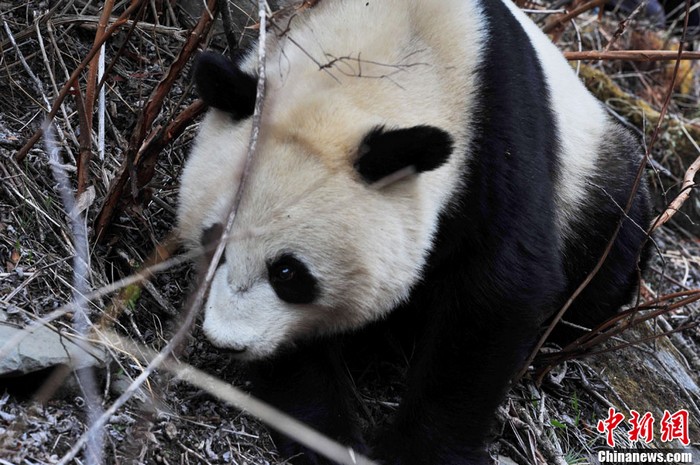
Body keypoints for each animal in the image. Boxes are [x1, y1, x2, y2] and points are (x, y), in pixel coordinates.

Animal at [178, 0, 652, 464]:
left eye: (288, 273)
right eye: (213, 245)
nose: (227, 341)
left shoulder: (499, 138)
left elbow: (502, 288)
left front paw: (415, 451)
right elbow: (293, 344)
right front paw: (326, 437)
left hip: (594, 178)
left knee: (613, 240)